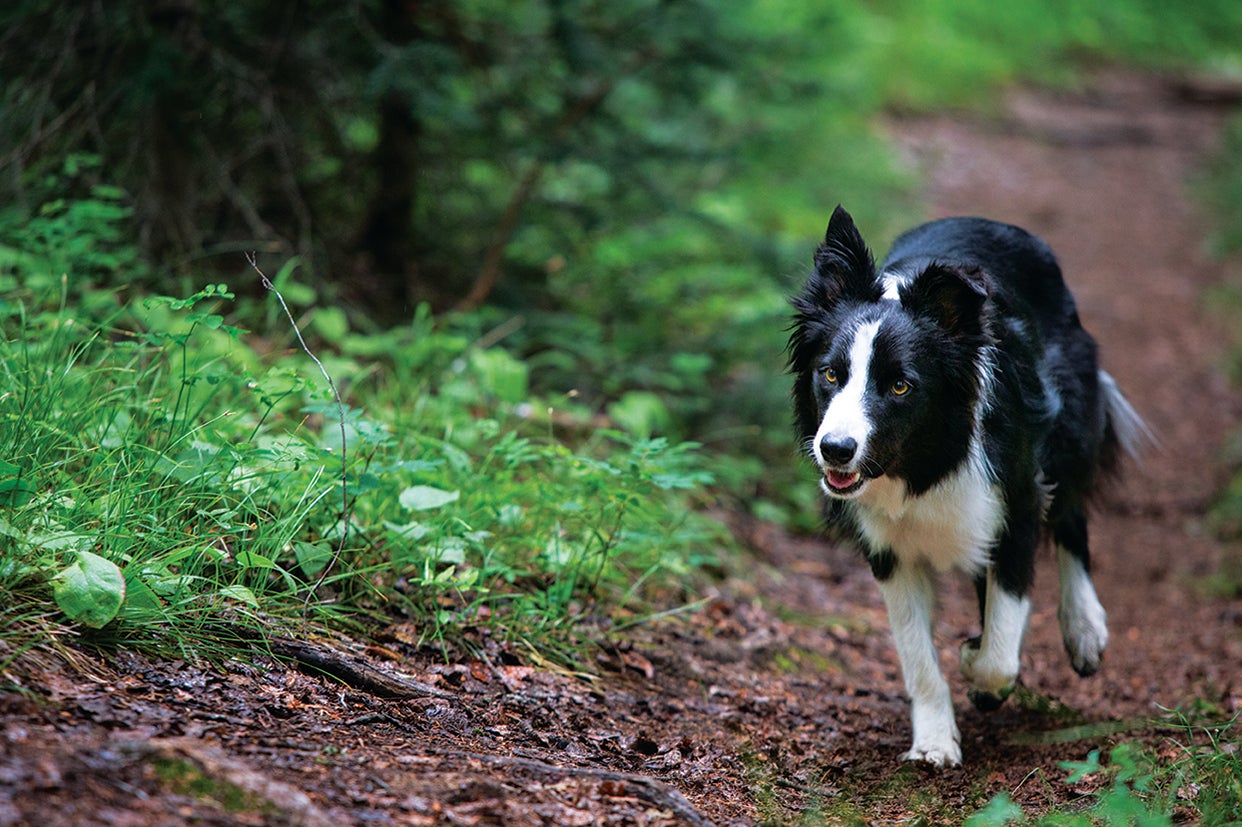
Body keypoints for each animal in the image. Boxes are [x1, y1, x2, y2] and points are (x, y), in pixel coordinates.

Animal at [784, 207, 1142, 764]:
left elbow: (1000, 650)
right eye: (830, 374)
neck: (923, 465)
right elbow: (916, 656)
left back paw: (1084, 628)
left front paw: (977, 662)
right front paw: (934, 741)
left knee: (1070, 513)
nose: (835, 449)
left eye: (900, 385)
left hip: (1069, 425)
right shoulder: (888, 548)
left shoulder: (1013, 505)